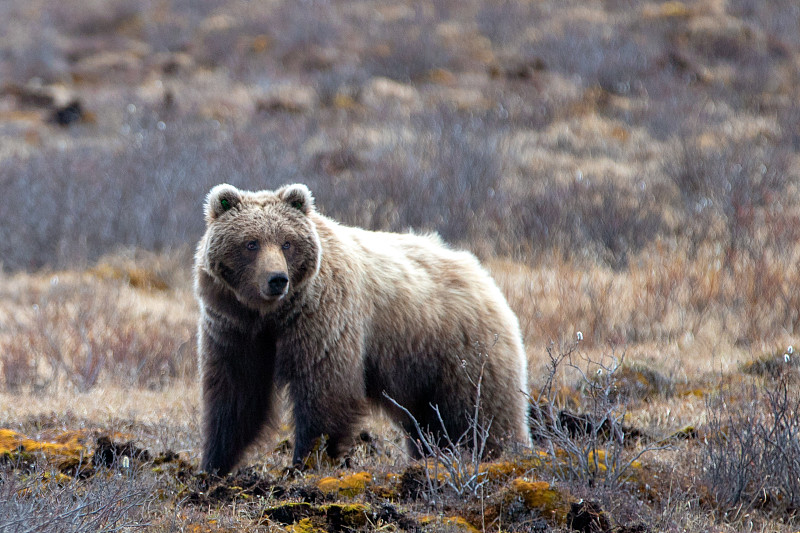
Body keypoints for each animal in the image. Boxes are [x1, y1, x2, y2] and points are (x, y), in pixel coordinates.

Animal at [195, 183, 532, 474]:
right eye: (251, 243)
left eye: (286, 242)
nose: (277, 279)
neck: (271, 316)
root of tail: (482, 274)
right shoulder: (234, 329)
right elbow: (236, 393)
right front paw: (213, 464)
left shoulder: (324, 319)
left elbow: (326, 391)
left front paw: (307, 460)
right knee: (428, 423)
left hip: (463, 352)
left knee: (481, 414)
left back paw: (504, 454)